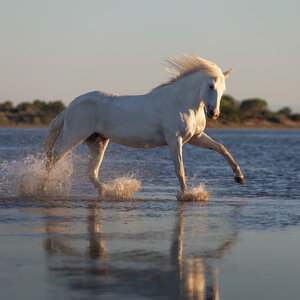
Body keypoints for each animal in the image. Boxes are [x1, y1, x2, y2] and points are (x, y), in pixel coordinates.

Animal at [45, 55, 246, 198]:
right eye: (211, 86)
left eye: (223, 89)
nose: (214, 113)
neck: (182, 103)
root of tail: (71, 105)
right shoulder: (175, 140)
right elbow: (180, 169)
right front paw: (186, 194)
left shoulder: (196, 137)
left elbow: (222, 148)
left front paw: (240, 178)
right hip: (74, 135)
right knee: (53, 158)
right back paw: (44, 186)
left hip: (97, 141)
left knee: (91, 171)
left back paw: (110, 191)